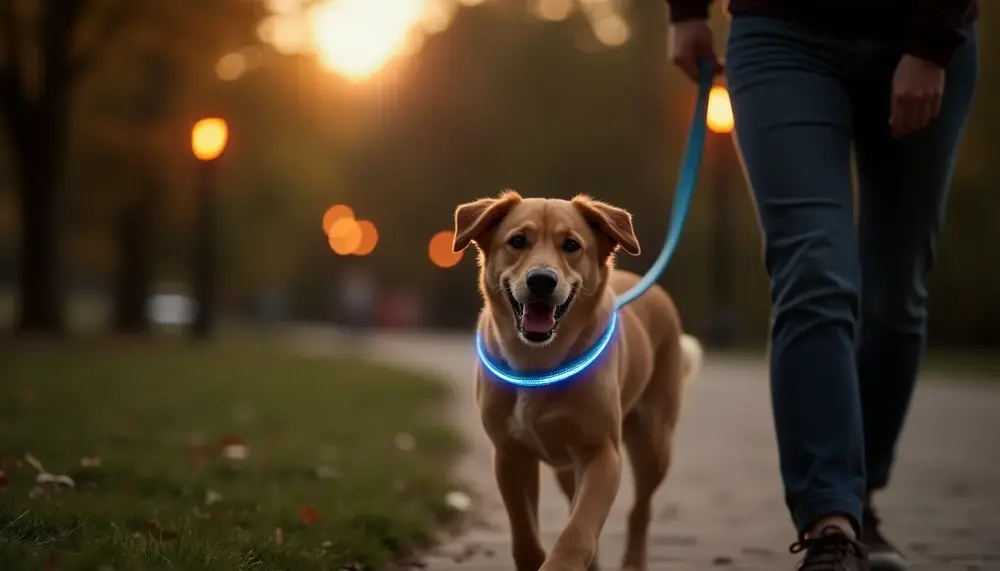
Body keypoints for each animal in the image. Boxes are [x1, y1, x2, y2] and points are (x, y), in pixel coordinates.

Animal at [454, 190, 704, 571]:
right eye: (517, 241)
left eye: (571, 244)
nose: (542, 280)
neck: (539, 363)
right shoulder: (510, 455)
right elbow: (524, 533)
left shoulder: (602, 454)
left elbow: (579, 530)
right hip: (566, 468)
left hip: (653, 442)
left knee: (640, 510)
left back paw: (633, 561)